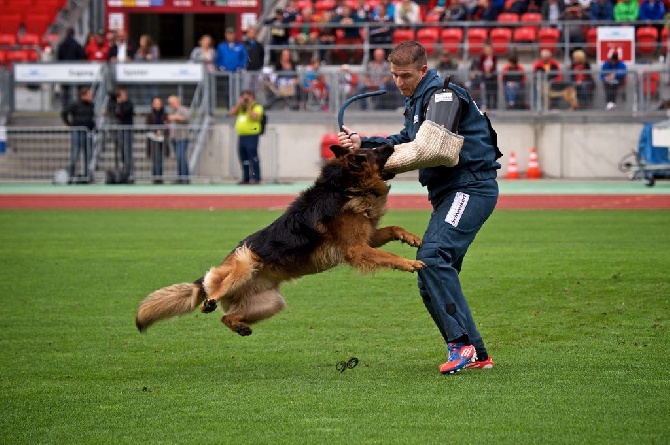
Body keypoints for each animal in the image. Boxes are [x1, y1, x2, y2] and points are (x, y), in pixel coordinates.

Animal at [136, 144, 426, 334]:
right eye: (374, 149)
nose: (391, 143)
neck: (344, 186)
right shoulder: (356, 249)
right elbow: (387, 256)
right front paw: (409, 263)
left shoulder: (367, 238)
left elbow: (392, 229)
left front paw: (412, 238)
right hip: (245, 261)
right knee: (215, 292)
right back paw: (210, 301)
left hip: (271, 304)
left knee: (225, 318)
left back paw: (239, 326)